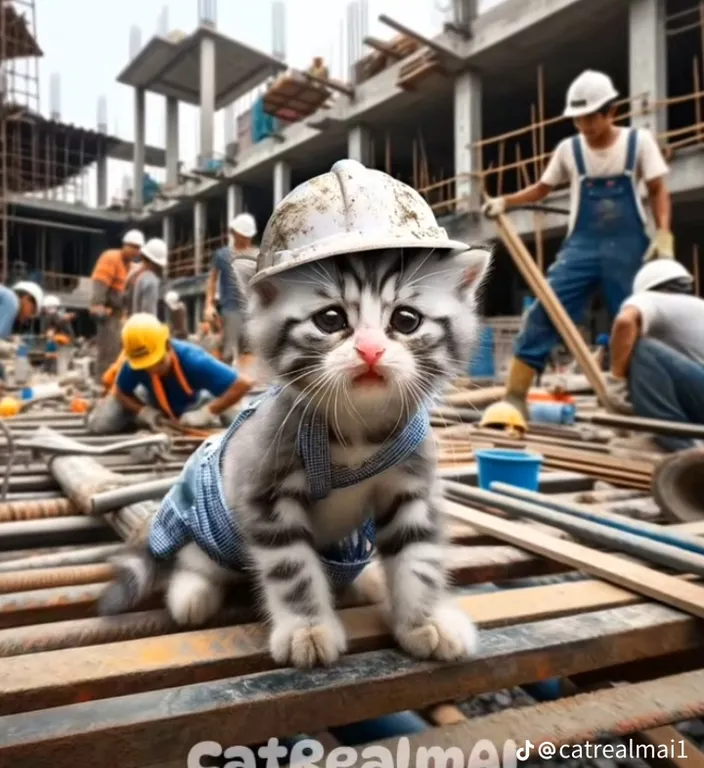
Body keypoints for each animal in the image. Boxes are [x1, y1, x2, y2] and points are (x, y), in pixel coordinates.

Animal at [100, 244, 490, 664]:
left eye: (406, 320)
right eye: (330, 319)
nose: (370, 351)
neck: (358, 429)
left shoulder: (411, 486)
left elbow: (418, 556)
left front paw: (426, 620)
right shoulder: (265, 488)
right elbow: (292, 568)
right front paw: (307, 630)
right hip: (209, 523)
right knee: (197, 558)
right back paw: (192, 594)